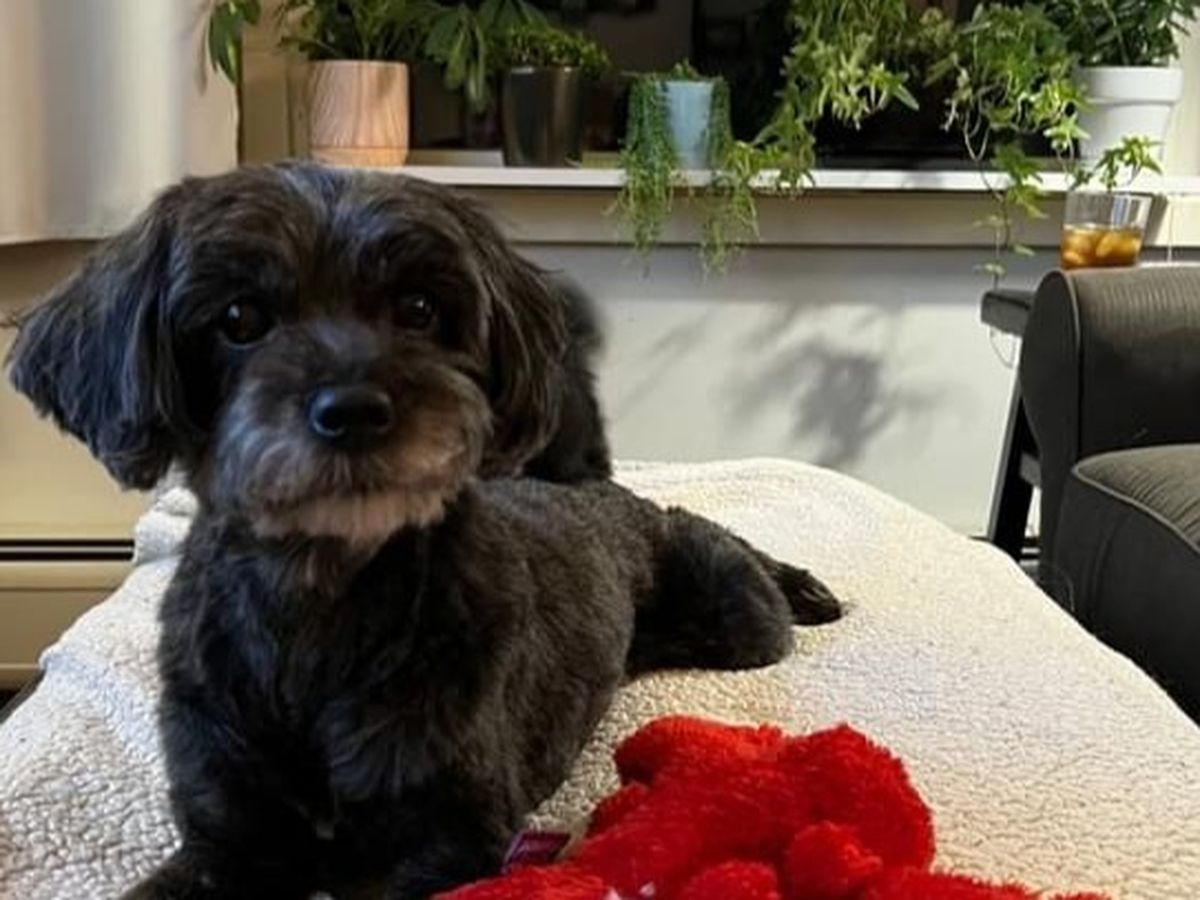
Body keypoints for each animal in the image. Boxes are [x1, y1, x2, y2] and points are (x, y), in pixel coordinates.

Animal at [7, 164, 841, 899]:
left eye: (417, 308)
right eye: (239, 318)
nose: (352, 410)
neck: (320, 602)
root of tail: (579, 483)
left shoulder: (447, 841)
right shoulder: (229, 837)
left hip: (733, 615)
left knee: (716, 541)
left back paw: (801, 586)